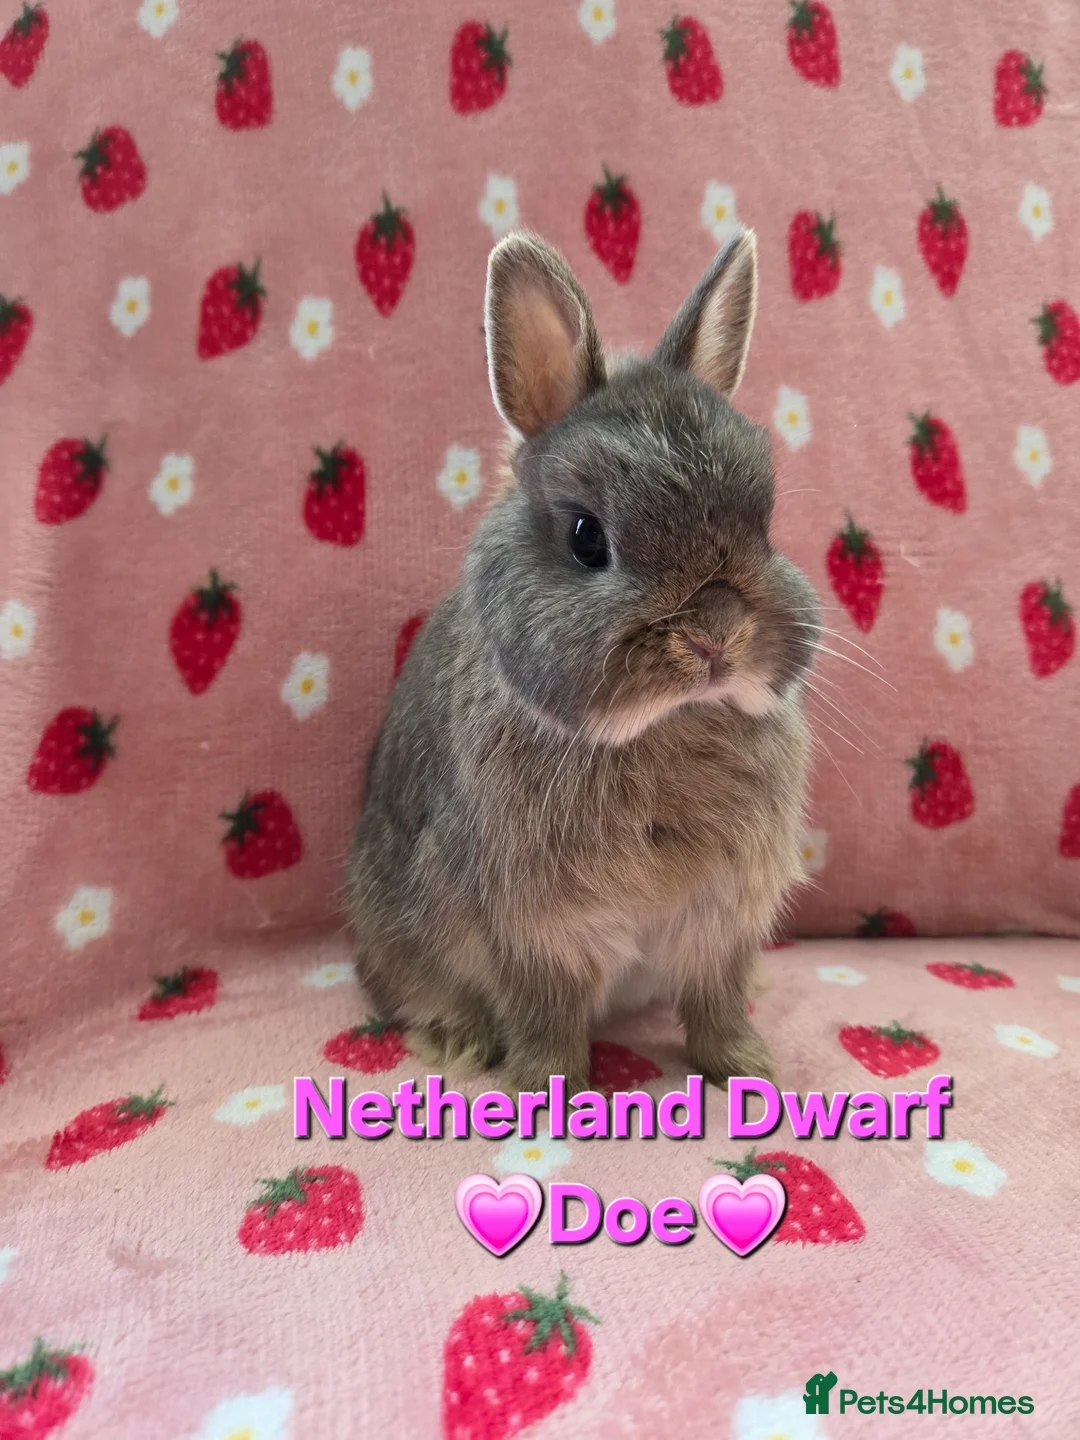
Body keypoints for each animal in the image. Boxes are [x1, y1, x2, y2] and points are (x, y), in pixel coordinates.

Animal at [346, 227, 820, 1097]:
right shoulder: (536, 934)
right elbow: (547, 1020)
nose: (716, 632)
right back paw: (457, 1041)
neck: (664, 728)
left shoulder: (721, 924)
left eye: (766, 523)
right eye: (585, 537)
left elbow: (717, 1004)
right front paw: (544, 1092)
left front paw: (750, 1071)